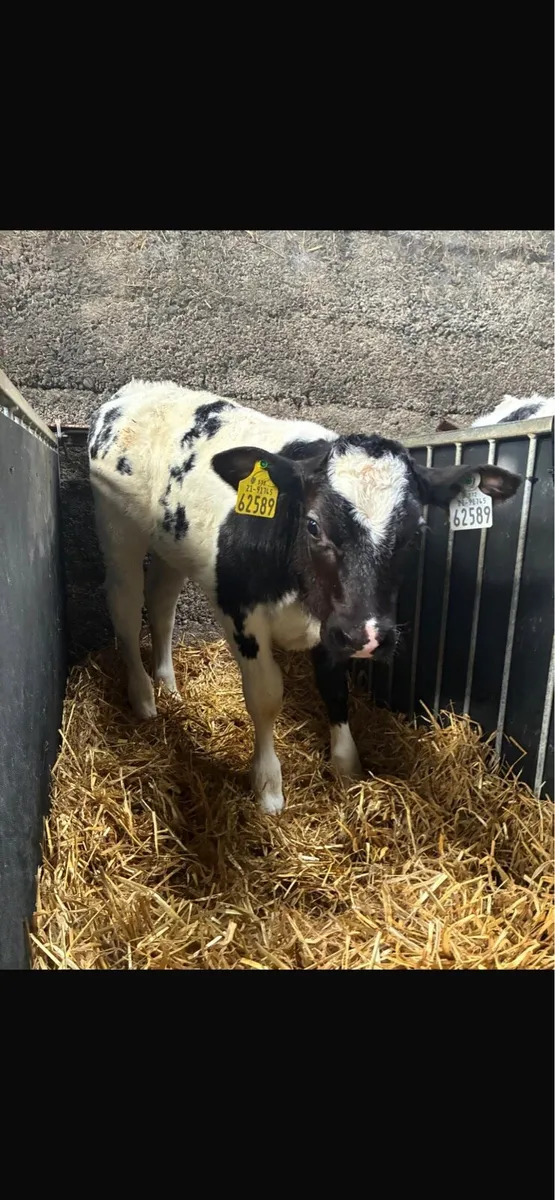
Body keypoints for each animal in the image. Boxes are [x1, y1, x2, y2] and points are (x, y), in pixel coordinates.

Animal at [89, 380, 521, 814]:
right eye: (313, 525)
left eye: (416, 531)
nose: (370, 637)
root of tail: (138, 389)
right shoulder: (241, 611)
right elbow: (265, 696)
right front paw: (268, 786)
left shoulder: (334, 622)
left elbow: (335, 688)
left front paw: (347, 767)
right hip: (117, 528)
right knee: (126, 605)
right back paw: (143, 696)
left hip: (170, 546)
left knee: (162, 604)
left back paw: (168, 686)